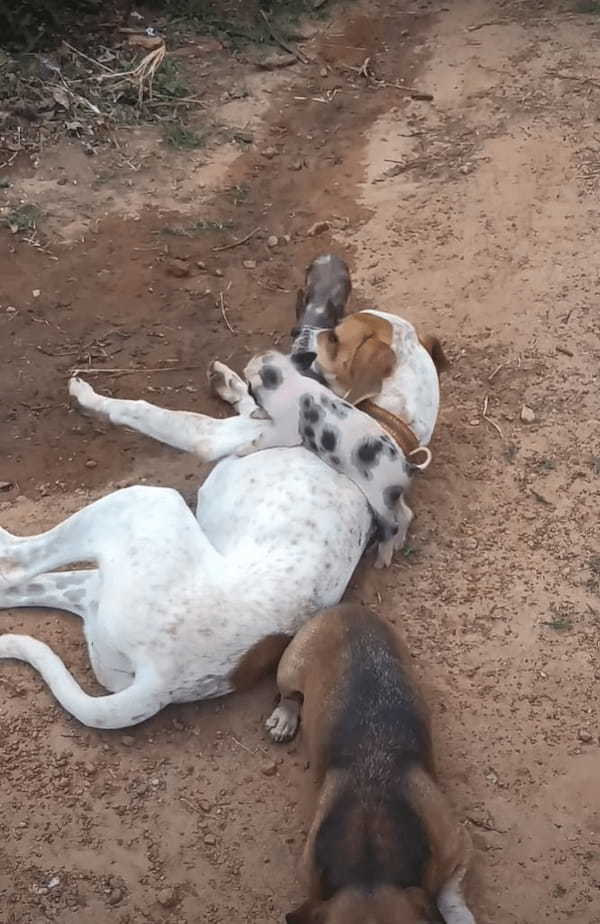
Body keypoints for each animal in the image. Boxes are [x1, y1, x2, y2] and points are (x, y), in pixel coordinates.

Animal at [264, 608, 476, 924]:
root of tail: (349, 609)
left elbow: (450, 895)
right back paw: (284, 718)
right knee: (289, 696)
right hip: (290, 669)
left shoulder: (458, 846)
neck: (370, 856)